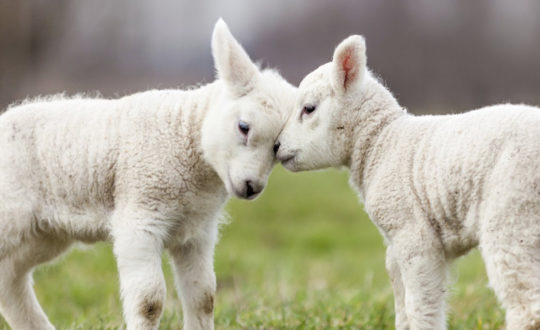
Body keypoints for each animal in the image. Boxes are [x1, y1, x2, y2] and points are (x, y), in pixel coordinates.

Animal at [0, 20, 296, 330]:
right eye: (243, 127)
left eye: (277, 148)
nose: (252, 186)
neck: (187, 137)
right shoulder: (140, 217)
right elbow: (149, 302)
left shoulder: (196, 231)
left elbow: (204, 296)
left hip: (42, 234)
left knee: (10, 280)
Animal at [276, 34, 536, 328]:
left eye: (308, 109)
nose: (276, 146)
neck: (382, 141)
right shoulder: (395, 245)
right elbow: (401, 302)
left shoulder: (412, 234)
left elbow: (420, 307)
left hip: (512, 214)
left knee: (526, 306)